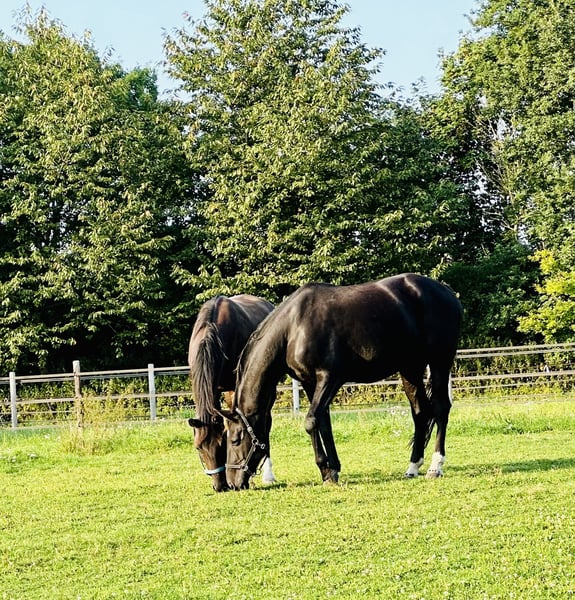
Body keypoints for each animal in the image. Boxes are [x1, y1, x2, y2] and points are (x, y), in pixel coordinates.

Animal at [222, 274, 463, 490]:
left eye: (235, 439)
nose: (233, 483)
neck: (294, 327)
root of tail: (447, 292)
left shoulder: (329, 378)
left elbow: (311, 422)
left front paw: (325, 470)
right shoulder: (310, 383)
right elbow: (324, 424)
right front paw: (333, 469)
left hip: (440, 362)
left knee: (441, 409)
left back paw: (435, 466)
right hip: (410, 369)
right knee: (420, 412)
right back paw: (412, 467)